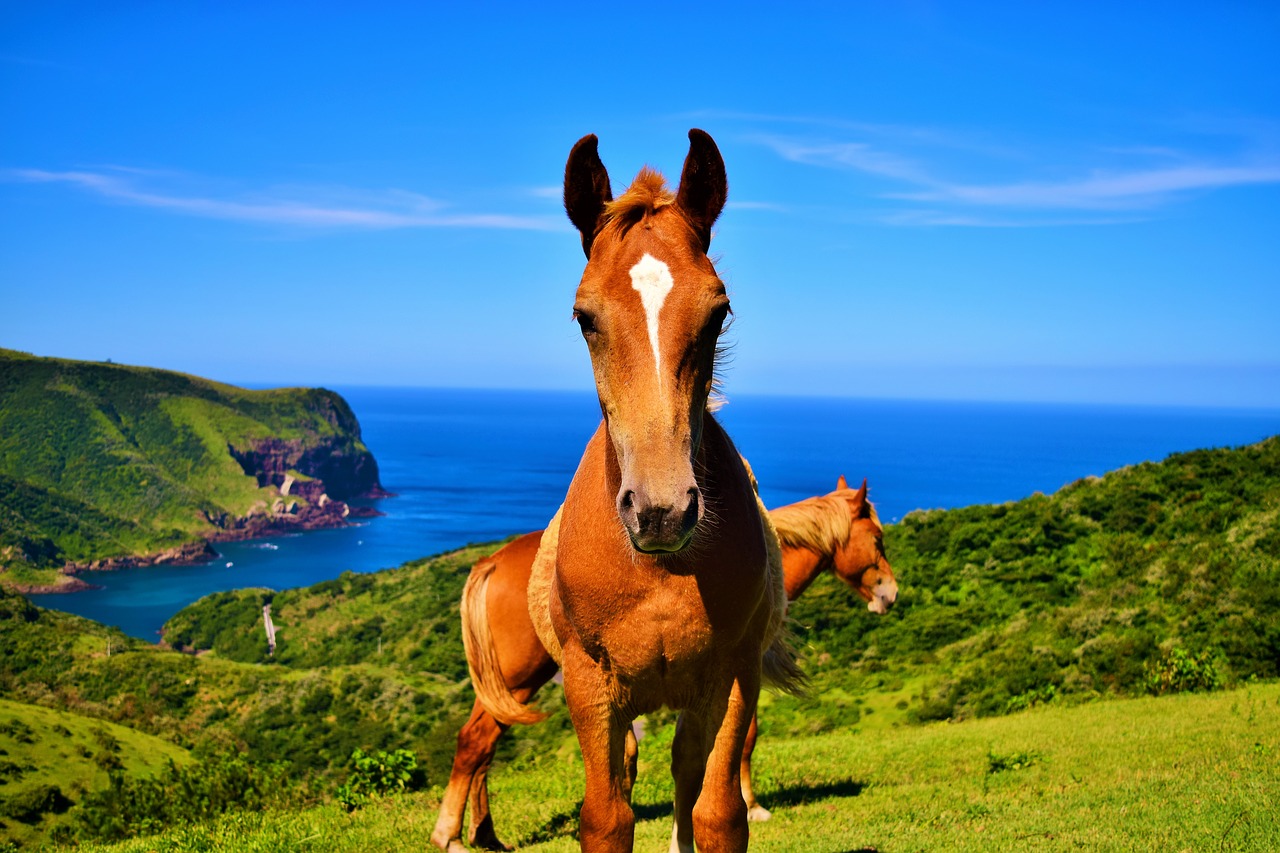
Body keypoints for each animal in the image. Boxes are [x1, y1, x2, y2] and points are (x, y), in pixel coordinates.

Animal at [430, 473, 901, 845]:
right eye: (878, 539)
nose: (890, 593)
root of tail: (491, 561)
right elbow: (745, 740)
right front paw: (752, 805)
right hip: (521, 677)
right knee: (476, 742)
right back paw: (452, 836)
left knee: (483, 745)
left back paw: (484, 835)